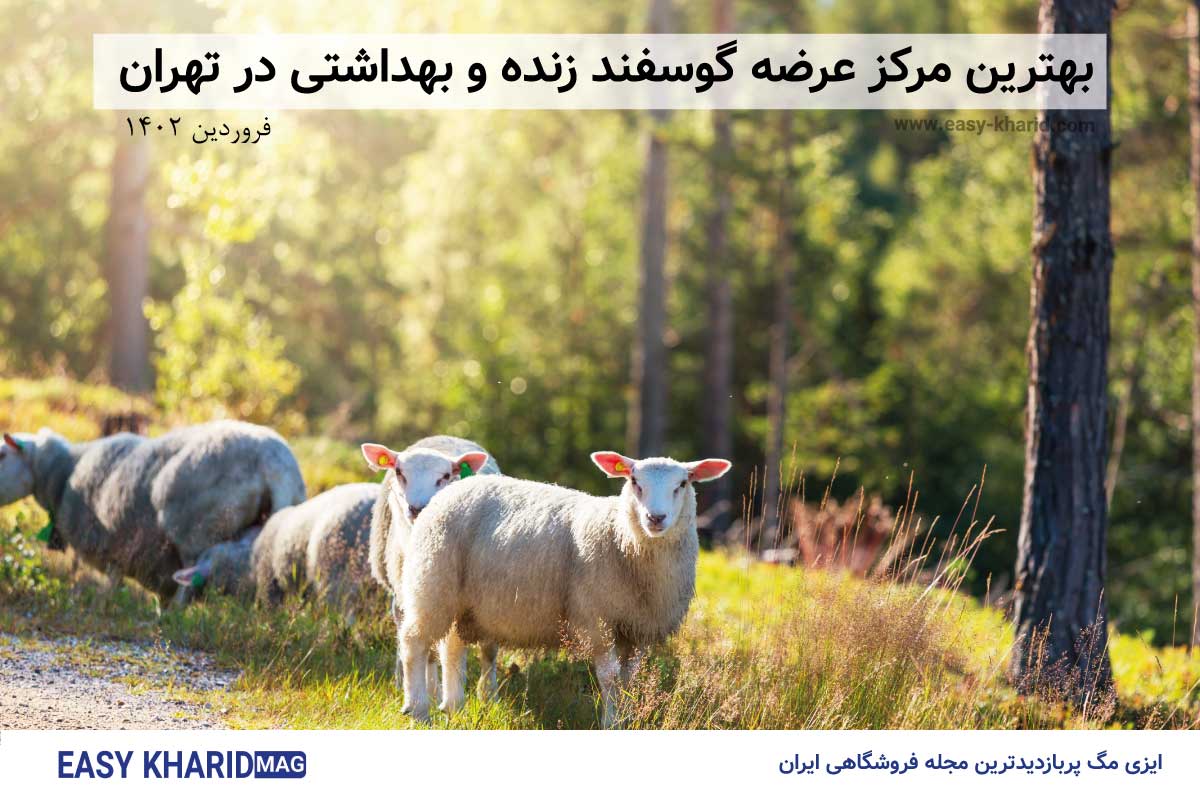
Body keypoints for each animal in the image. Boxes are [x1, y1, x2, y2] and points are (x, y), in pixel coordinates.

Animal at [0, 422, 306, 602]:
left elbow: (111, 585)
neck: (63, 474)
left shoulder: (113, 547)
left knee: (191, 580)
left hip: (197, 534)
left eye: (2, 454)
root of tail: (275, 463)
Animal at [360, 436, 502, 697]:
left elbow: (489, 649)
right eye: (399, 471)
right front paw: (432, 690)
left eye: (445, 476)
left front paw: (488, 694)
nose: (417, 508)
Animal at [396, 450, 731, 726]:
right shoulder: (596, 619)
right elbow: (610, 678)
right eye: (635, 481)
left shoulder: (638, 630)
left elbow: (628, 680)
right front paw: (611, 723)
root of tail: (452, 489)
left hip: (461, 600)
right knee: (414, 643)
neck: (622, 540)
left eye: (683, 484)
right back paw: (419, 710)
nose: (656, 518)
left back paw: (453, 706)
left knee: (451, 647)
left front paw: (625, 718)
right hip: (432, 580)